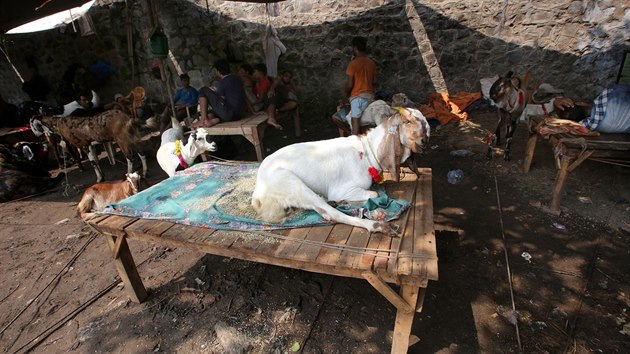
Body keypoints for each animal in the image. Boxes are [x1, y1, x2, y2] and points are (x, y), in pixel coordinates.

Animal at [252, 108, 430, 235]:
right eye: (407, 121)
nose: (425, 140)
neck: (367, 152)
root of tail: (258, 192)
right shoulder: (341, 189)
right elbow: (374, 193)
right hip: (292, 183)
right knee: (332, 214)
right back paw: (379, 226)